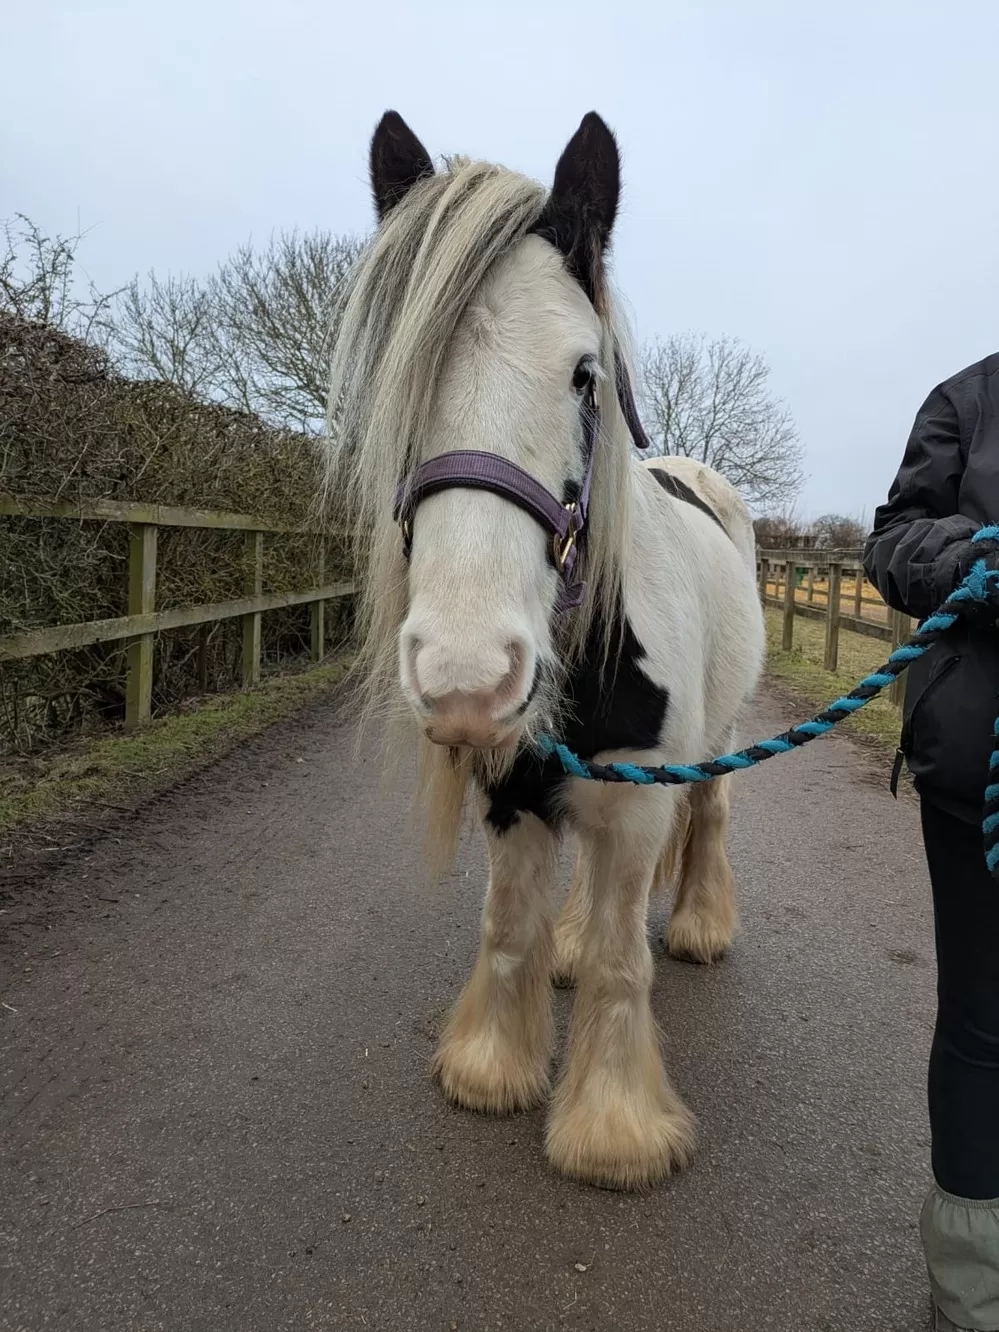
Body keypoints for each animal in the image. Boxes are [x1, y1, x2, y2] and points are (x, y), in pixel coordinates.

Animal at [329, 111, 767, 1188]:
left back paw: (700, 923)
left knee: (709, 818)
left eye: (583, 374)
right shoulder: (511, 788)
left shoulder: (640, 801)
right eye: (404, 378)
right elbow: (510, 929)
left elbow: (621, 959)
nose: (465, 675)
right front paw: (493, 1067)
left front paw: (612, 1128)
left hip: (718, 740)